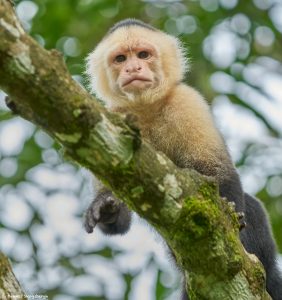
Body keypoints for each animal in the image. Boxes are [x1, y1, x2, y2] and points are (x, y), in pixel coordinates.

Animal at [84, 19, 282, 300]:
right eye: (120, 59)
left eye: (143, 55)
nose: (133, 68)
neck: (145, 109)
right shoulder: (108, 115)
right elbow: (118, 221)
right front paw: (105, 207)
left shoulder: (187, 102)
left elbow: (217, 172)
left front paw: (231, 228)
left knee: (252, 209)